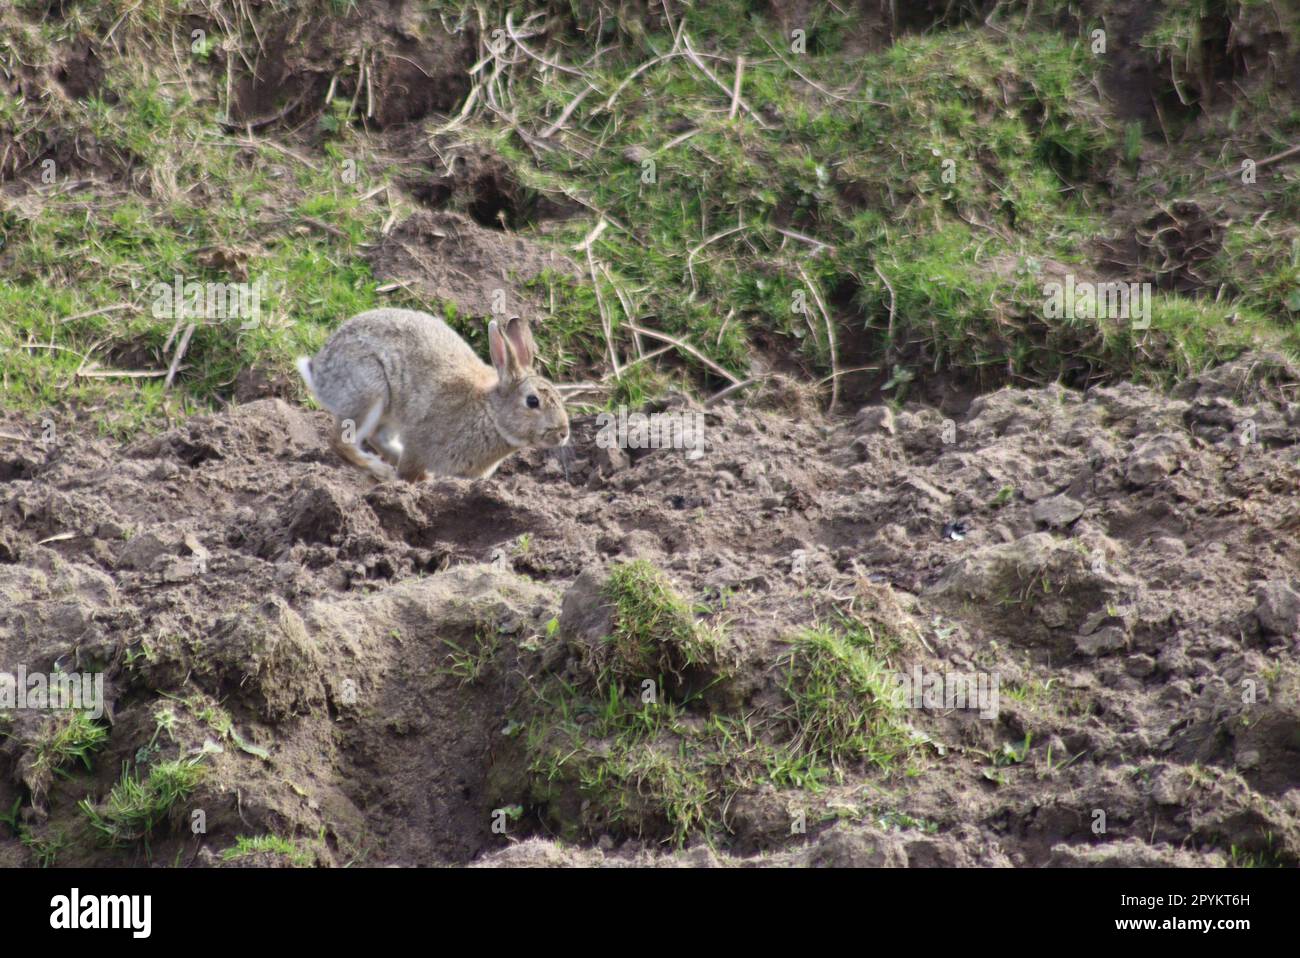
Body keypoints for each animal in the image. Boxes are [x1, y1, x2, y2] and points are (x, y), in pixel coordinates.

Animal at [296, 308, 569, 482]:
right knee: (340, 441)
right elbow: (409, 470)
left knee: (376, 437)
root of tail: (318, 371)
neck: (490, 412)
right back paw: (381, 470)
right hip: (368, 391)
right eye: (532, 401)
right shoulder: (419, 443)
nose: (563, 433)